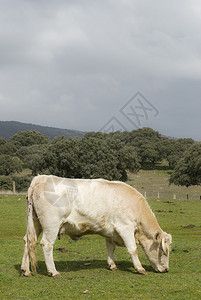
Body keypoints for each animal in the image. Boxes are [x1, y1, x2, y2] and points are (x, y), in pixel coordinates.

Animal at [20, 175, 172, 278]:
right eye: (163, 250)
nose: (166, 269)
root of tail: (41, 178)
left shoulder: (110, 231)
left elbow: (110, 248)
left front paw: (112, 265)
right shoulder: (125, 227)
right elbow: (132, 249)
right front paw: (140, 268)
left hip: (34, 223)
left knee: (28, 241)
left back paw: (25, 270)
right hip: (51, 224)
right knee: (46, 244)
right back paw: (53, 271)